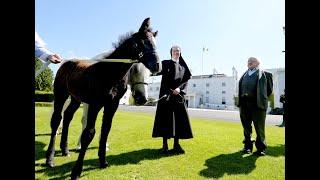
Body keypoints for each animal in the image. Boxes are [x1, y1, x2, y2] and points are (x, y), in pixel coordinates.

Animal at [44, 17, 160, 180]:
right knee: (56, 120)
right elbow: (89, 133)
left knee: (67, 116)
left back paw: (65, 150)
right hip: (61, 95)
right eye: (143, 42)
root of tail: (66, 63)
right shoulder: (95, 104)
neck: (109, 73)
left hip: (76, 99)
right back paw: (50, 159)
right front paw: (76, 171)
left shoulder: (112, 105)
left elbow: (106, 129)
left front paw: (103, 161)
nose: (157, 66)